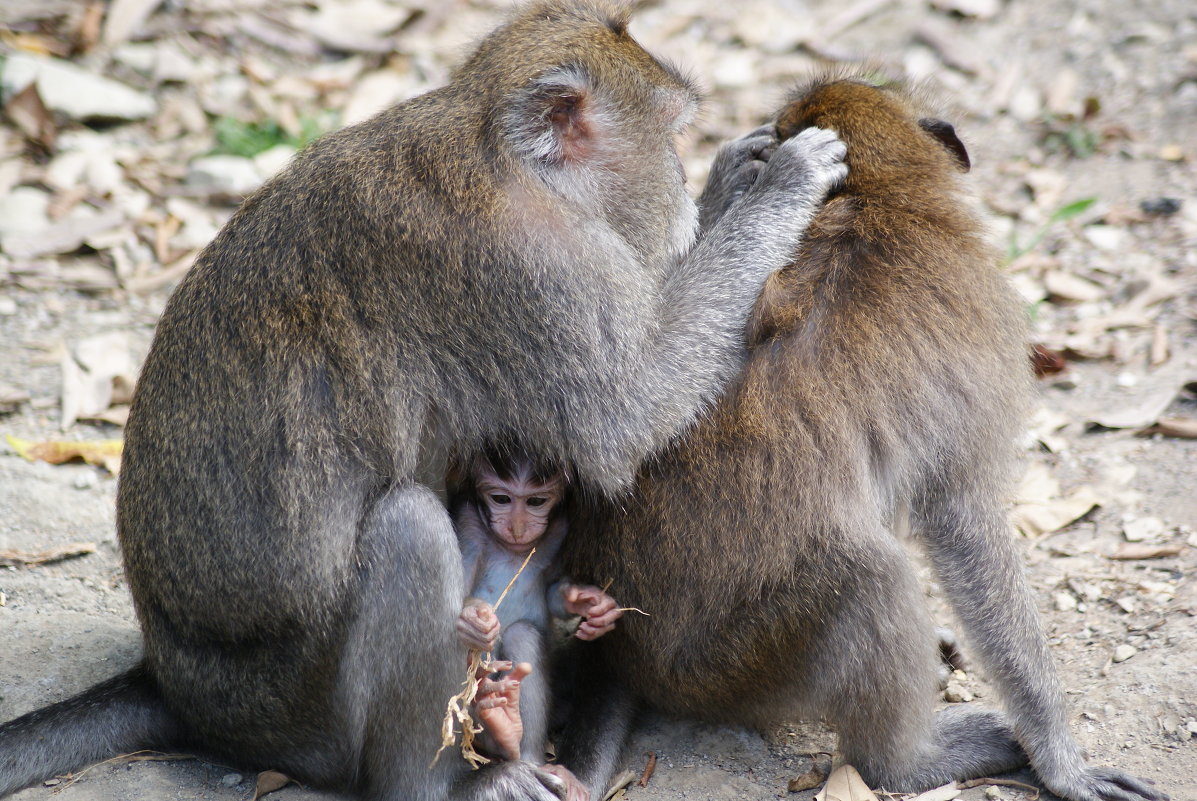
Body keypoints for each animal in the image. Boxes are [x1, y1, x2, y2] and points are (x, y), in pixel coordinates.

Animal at [447, 450, 617, 795]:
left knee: (522, 634)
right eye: (501, 498)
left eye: (536, 501)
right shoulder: (469, 522)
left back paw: (511, 737)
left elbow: (555, 591)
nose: (517, 527)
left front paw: (590, 603)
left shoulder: (563, 528)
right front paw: (473, 621)